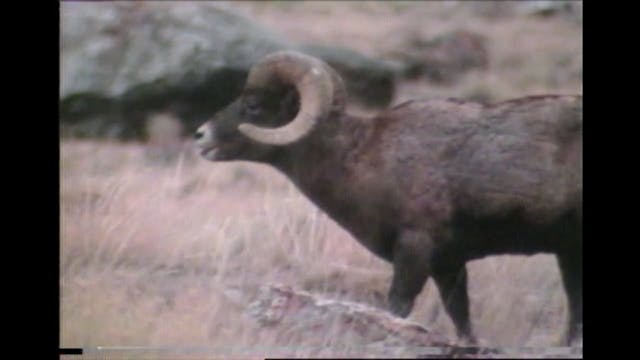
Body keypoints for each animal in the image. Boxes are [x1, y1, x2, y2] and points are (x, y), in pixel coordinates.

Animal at [192, 51, 584, 346]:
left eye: (253, 105)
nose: (200, 136)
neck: (359, 157)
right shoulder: (448, 265)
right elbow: (462, 320)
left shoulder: (414, 252)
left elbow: (397, 309)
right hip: (568, 254)